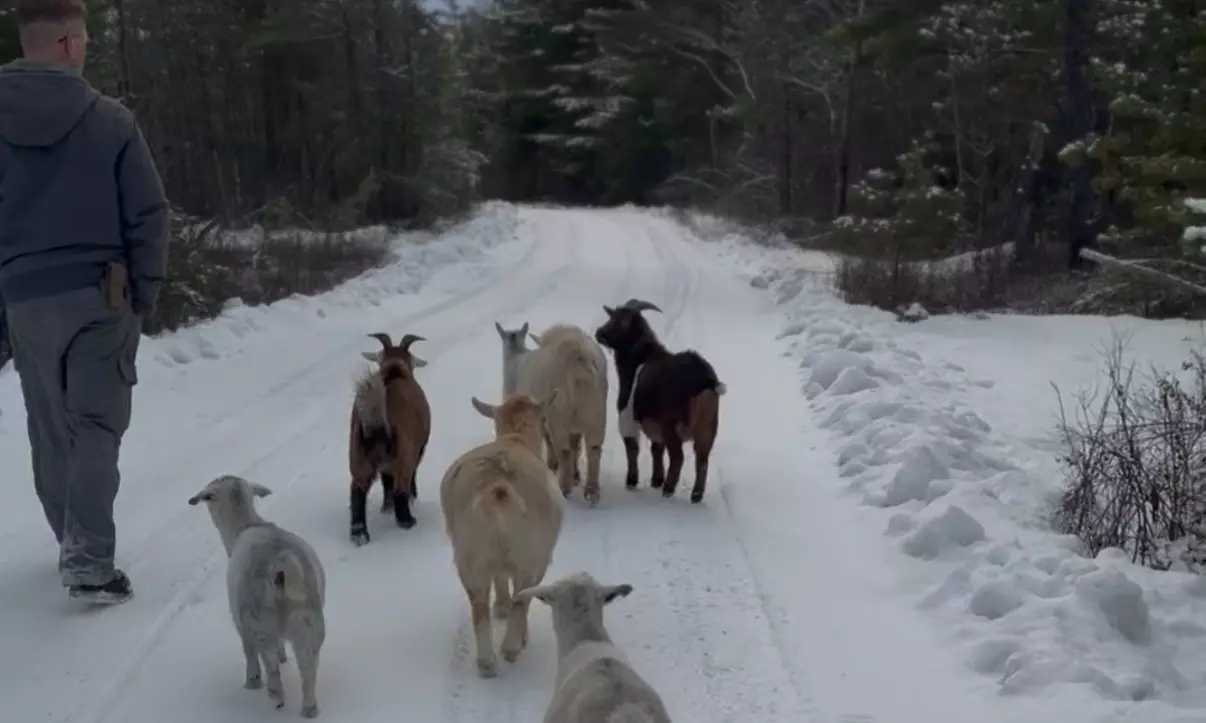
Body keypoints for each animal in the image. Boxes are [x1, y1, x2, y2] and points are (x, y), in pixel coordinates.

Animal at [188, 475, 327, 718]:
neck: (246, 524)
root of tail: (283, 565)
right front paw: (283, 657)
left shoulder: (241, 622)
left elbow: (248, 651)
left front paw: (251, 682)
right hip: (308, 621)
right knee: (308, 667)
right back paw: (309, 709)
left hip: (261, 623)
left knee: (270, 664)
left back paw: (276, 697)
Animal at [348, 332, 431, 545]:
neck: (395, 370)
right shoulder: (416, 449)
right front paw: (411, 499)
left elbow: (386, 480)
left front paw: (386, 507)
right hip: (404, 453)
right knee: (401, 487)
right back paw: (407, 521)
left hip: (358, 454)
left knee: (357, 491)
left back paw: (359, 534)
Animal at [439, 390, 565, 677]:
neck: (515, 437)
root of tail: (497, 485)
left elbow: (499, 578)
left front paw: (501, 608)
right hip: (531, 556)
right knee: (522, 598)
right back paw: (511, 648)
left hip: (470, 555)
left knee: (478, 605)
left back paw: (486, 663)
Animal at [594, 299, 726, 503]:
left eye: (617, 319)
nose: (599, 333)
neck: (639, 357)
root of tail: (704, 381)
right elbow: (657, 448)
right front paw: (656, 479)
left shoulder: (627, 415)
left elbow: (632, 446)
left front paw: (632, 481)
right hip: (709, 427)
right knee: (702, 459)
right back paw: (696, 495)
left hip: (672, 425)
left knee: (678, 458)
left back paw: (668, 489)